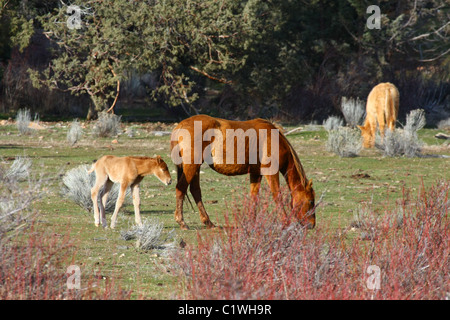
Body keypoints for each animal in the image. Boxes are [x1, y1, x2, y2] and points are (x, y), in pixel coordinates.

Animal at [170, 115, 316, 230]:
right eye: (311, 201)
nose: (312, 225)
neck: (274, 140)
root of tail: (180, 126)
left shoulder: (256, 174)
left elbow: (254, 197)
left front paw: (252, 221)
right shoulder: (271, 172)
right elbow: (277, 196)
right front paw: (286, 222)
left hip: (195, 167)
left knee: (195, 190)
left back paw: (208, 222)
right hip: (192, 166)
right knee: (181, 188)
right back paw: (182, 222)